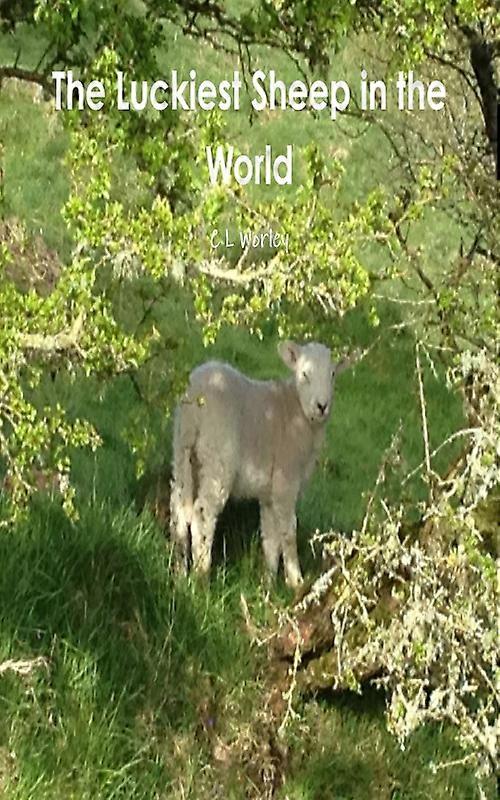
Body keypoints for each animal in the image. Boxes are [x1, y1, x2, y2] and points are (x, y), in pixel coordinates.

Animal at [169, 341, 345, 587]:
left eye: (333, 374)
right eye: (304, 374)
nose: (322, 406)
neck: (296, 411)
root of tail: (195, 396)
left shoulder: (269, 492)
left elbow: (270, 536)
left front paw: (268, 582)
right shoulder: (285, 480)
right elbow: (288, 531)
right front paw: (295, 581)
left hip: (182, 451)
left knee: (179, 508)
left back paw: (179, 573)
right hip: (218, 456)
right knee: (202, 512)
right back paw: (201, 575)